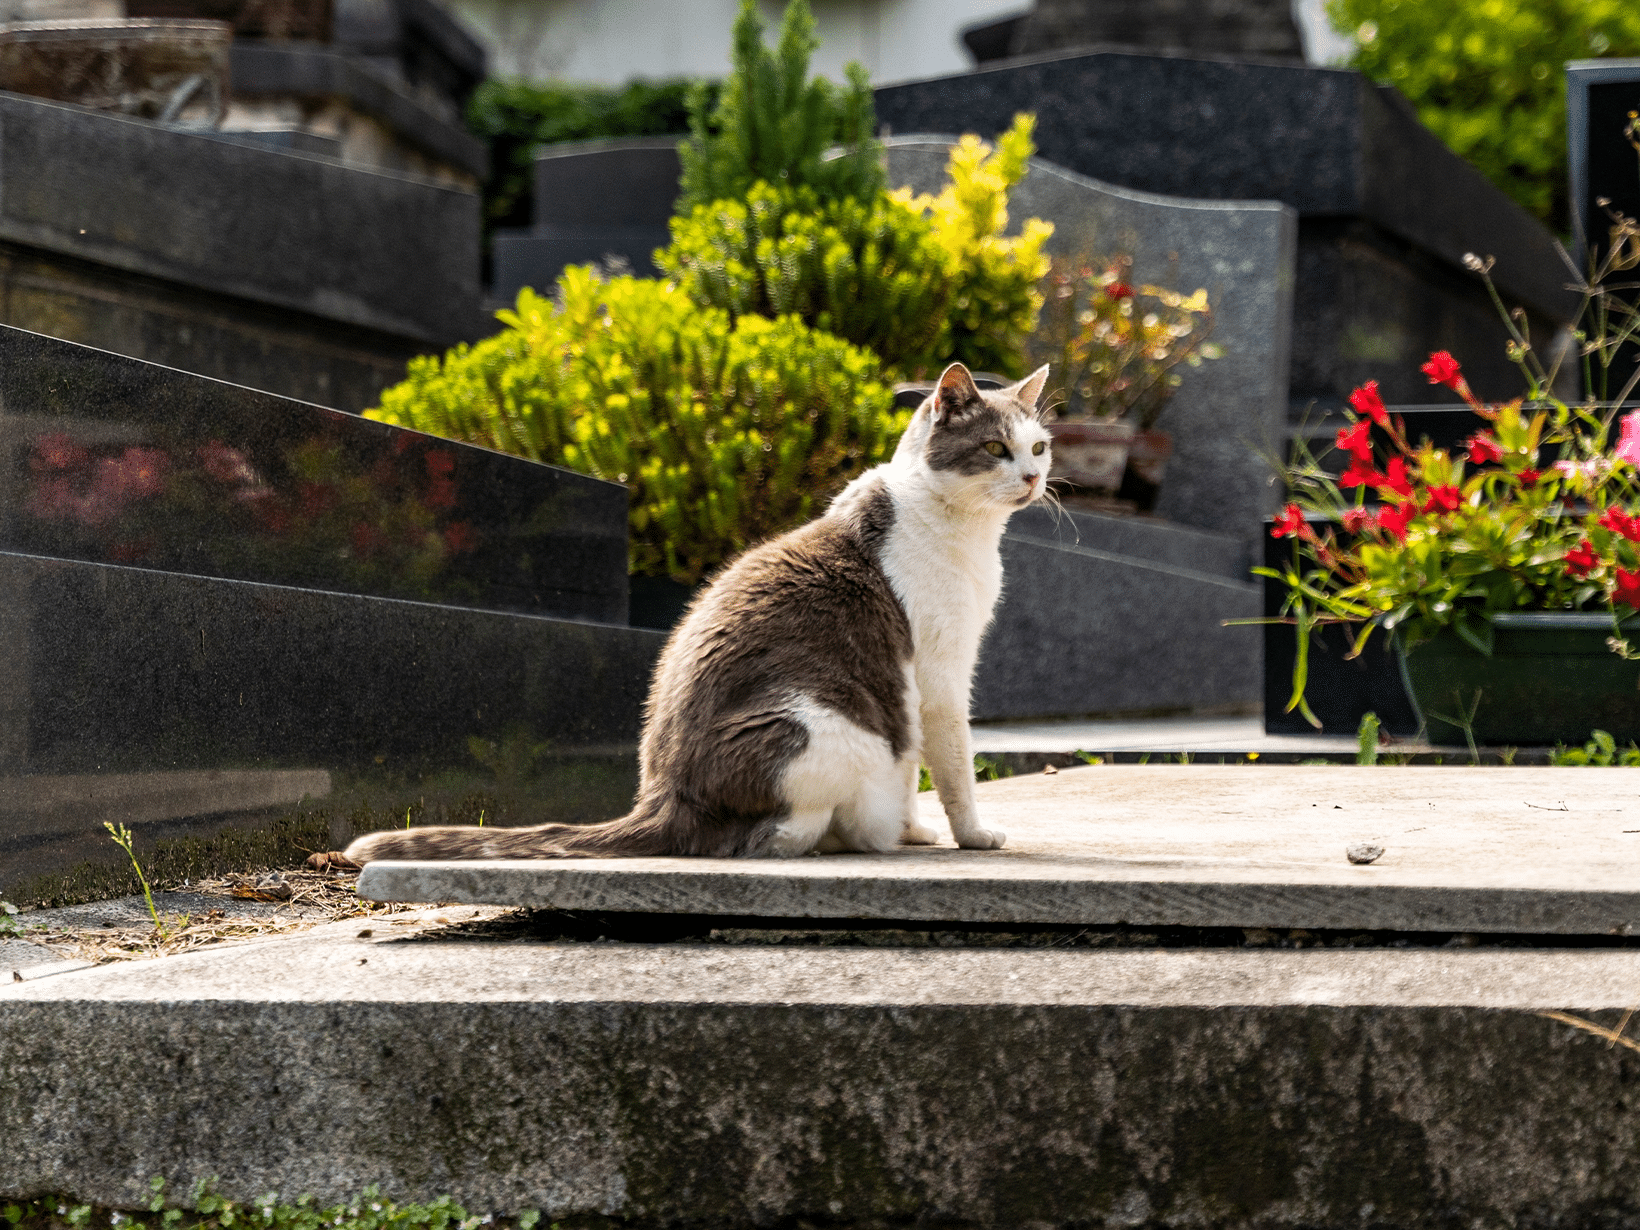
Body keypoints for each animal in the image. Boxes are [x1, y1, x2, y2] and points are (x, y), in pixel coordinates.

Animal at [352, 364, 1056, 865]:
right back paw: (843, 835)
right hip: (827, 727)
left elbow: (916, 769)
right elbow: (951, 765)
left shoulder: (915, 687)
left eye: (1040, 447)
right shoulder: (937, 674)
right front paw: (973, 834)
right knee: (776, 833)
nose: (1031, 479)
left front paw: (917, 831)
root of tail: (661, 799)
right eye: (996, 448)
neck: (968, 534)